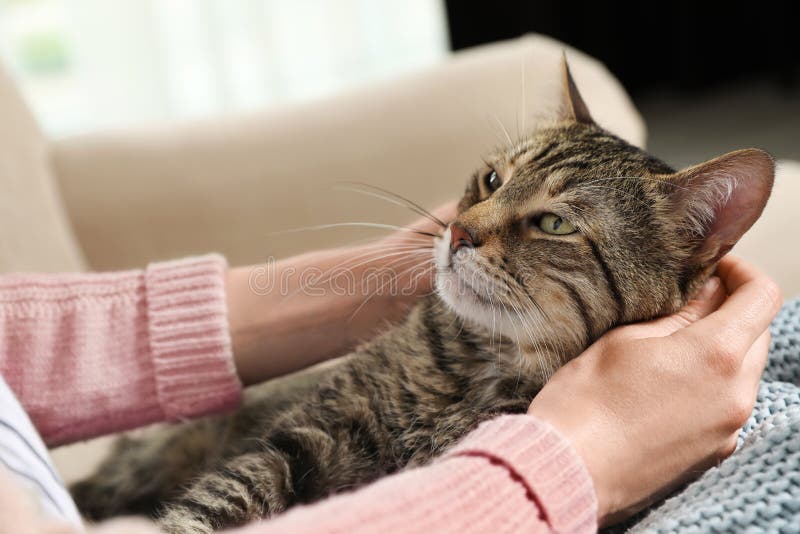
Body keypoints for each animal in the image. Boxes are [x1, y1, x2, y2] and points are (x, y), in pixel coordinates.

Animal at [70, 58, 776, 534]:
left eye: (555, 224)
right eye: (491, 179)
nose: (459, 231)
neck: (478, 366)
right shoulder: (302, 435)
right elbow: (211, 504)